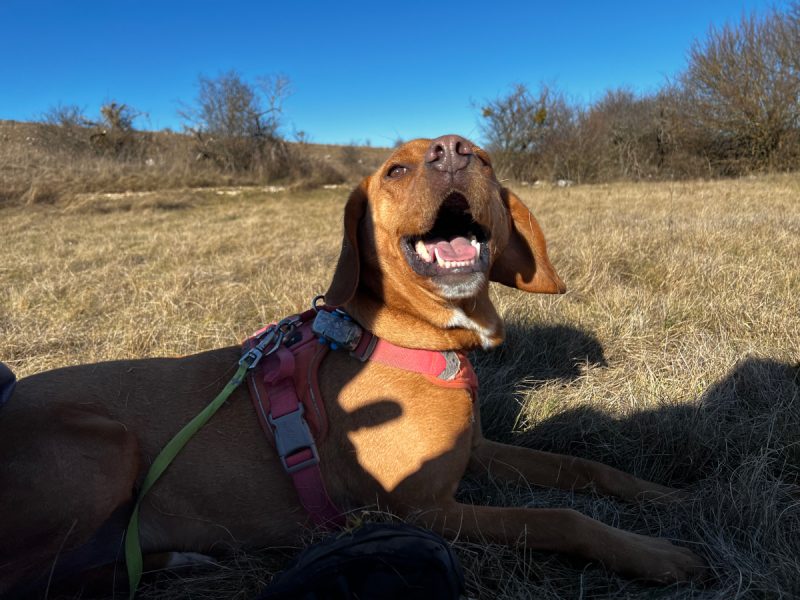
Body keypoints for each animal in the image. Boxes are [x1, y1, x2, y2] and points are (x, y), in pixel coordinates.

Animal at [0, 134, 704, 592]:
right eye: (395, 169)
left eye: (483, 156)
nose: (454, 151)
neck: (419, 343)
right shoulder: (423, 511)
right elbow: (559, 517)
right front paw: (653, 555)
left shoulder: (474, 453)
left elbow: (581, 467)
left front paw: (658, 495)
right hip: (106, 442)